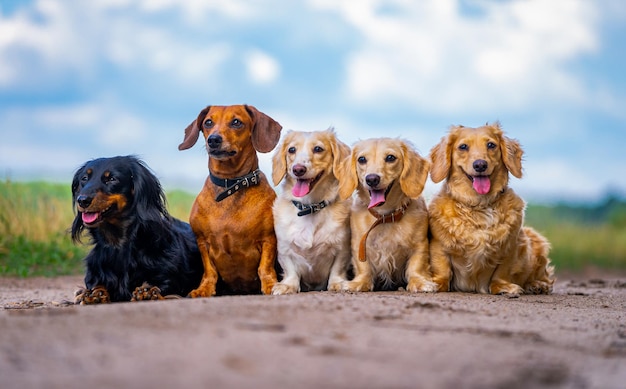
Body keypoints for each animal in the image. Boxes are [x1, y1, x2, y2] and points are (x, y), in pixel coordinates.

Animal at [71, 155, 202, 304]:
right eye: (84, 179)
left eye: (112, 179)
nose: (82, 200)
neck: (119, 245)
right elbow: (96, 286)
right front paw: (94, 294)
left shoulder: (169, 280)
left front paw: (147, 292)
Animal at [178, 104, 280, 296]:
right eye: (208, 122)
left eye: (236, 122)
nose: (213, 140)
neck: (230, 185)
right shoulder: (202, 241)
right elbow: (209, 270)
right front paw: (204, 289)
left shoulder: (269, 239)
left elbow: (265, 267)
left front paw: (271, 285)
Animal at [270, 129, 352, 292]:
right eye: (291, 150)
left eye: (318, 149)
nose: (298, 169)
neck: (309, 207)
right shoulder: (284, 249)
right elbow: (291, 270)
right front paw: (288, 285)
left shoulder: (342, 248)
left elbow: (337, 268)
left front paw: (336, 283)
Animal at [336, 136, 434, 292]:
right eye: (361, 159)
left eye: (390, 157)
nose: (372, 179)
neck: (384, 217)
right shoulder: (359, 245)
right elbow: (363, 267)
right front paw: (359, 283)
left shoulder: (420, 244)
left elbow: (416, 265)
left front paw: (419, 282)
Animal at [426, 122, 552, 294]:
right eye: (463, 147)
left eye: (491, 145)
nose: (480, 165)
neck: (479, 204)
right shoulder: (439, 245)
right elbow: (442, 269)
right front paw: (436, 284)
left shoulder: (510, 247)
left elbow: (502, 272)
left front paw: (502, 287)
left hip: (536, 242)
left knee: (543, 276)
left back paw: (537, 285)